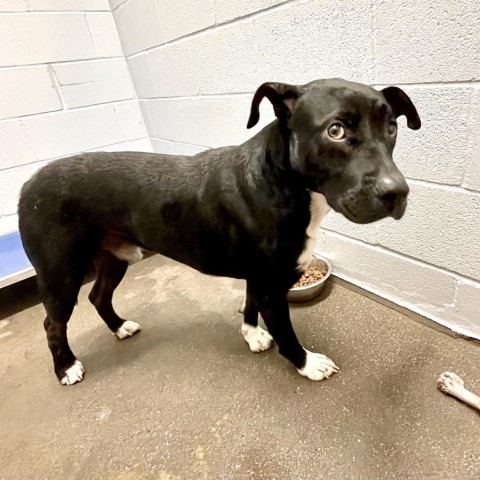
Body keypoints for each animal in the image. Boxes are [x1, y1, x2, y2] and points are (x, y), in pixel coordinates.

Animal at [17, 79, 420, 386]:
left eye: (392, 127)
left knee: (98, 296)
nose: (397, 192)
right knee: (53, 324)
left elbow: (249, 302)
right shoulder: (272, 287)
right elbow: (286, 333)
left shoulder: (259, 278)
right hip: (60, 274)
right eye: (335, 130)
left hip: (114, 256)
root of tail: (27, 183)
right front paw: (306, 363)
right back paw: (66, 367)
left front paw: (252, 334)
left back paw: (119, 327)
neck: (283, 182)